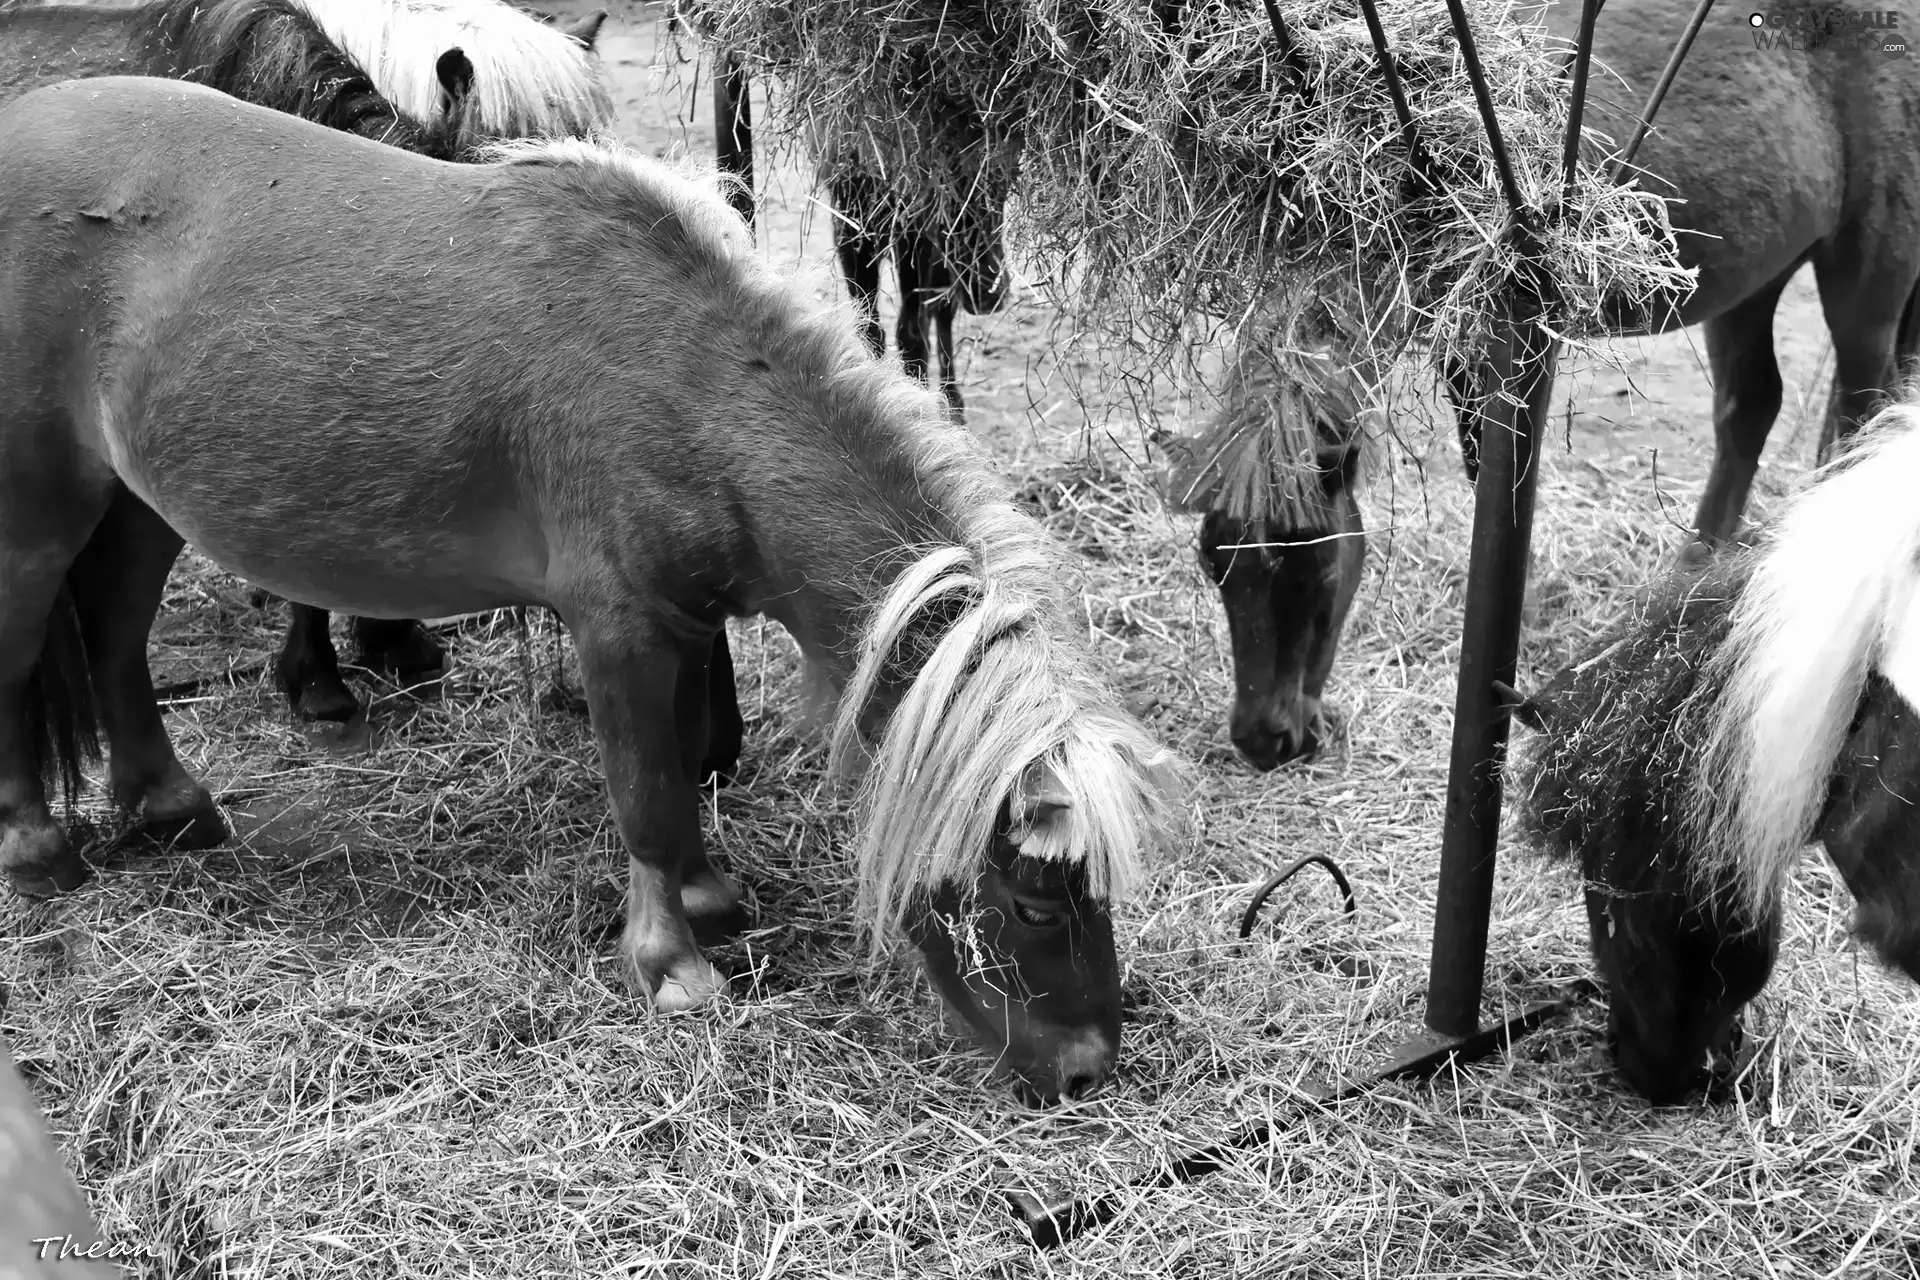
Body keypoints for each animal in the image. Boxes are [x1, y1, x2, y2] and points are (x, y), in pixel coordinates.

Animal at [0, 77, 1182, 1105]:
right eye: (1035, 903)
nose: (1087, 1070)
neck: (694, 385)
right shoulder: (619, 628)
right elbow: (648, 793)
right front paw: (672, 964)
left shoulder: (684, 624)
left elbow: (688, 755)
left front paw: (707, 899)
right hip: (39, 512)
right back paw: (37, 849)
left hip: (139, 504)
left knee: (115, 637)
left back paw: (169, 808)